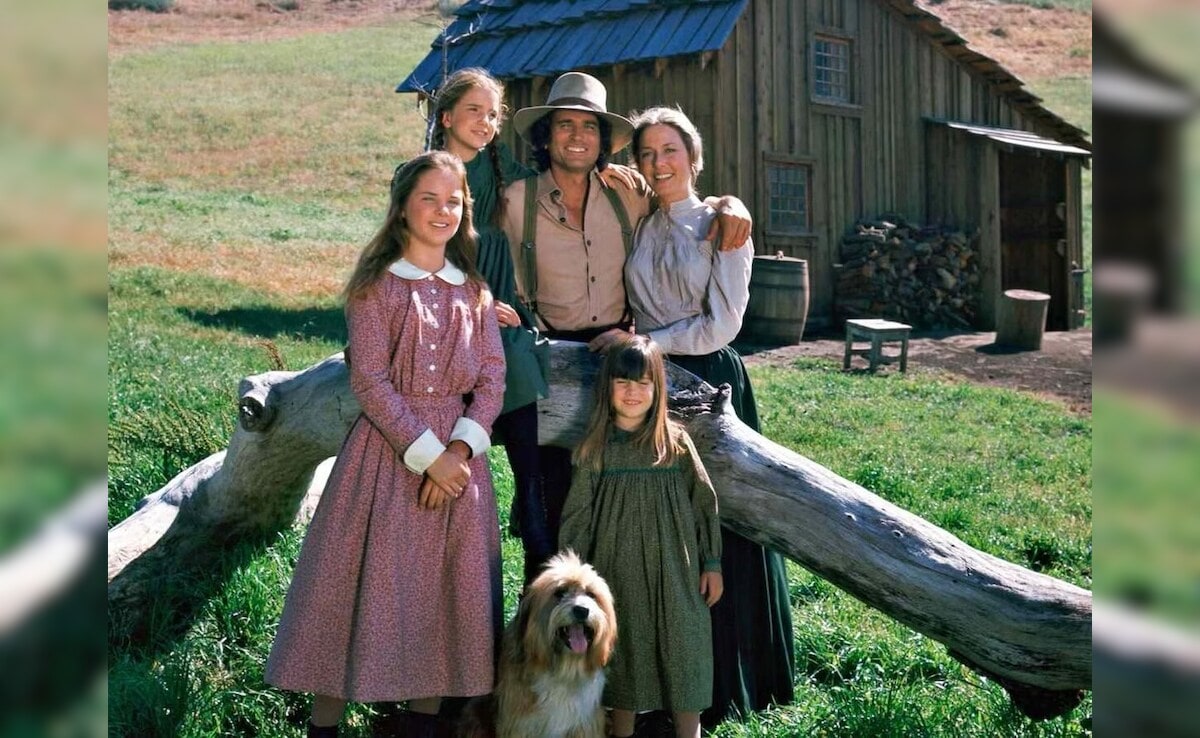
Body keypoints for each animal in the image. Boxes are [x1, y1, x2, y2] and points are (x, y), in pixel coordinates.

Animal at [456, 552, 614, 738]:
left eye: (590, 594)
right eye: (559, 592)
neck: (563, 670)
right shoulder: (519, 725)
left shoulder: (585, 724)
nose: (582, 610)